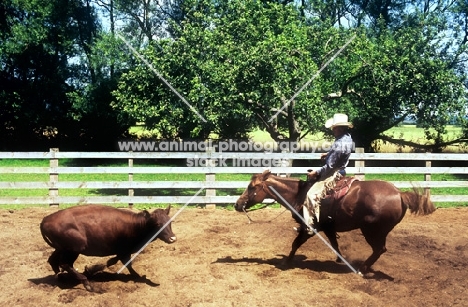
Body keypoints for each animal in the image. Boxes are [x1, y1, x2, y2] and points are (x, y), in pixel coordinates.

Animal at [39, 206, 176, 292]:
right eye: (158, 224)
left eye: (170, 221)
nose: (173, 238)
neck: (137, 226)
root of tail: (45, 219)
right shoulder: (124, 250)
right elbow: (122, 263)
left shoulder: (123, 251)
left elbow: (116, 261)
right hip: (74, 249)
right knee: (65, 264)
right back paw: (87, 284)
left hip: (62, 248)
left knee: (53, 260)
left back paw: (60, 278)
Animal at [236, 171, 436, 274]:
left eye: (252, 187)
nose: (237, 204)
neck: (299, 194)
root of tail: (400, 194)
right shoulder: (329, 227)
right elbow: (334, 243)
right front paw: (340, 259)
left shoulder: (311, 226)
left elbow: (296, 243)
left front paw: (286, 262)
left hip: (371, 231)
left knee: (379, 249)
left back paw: (362, 269)